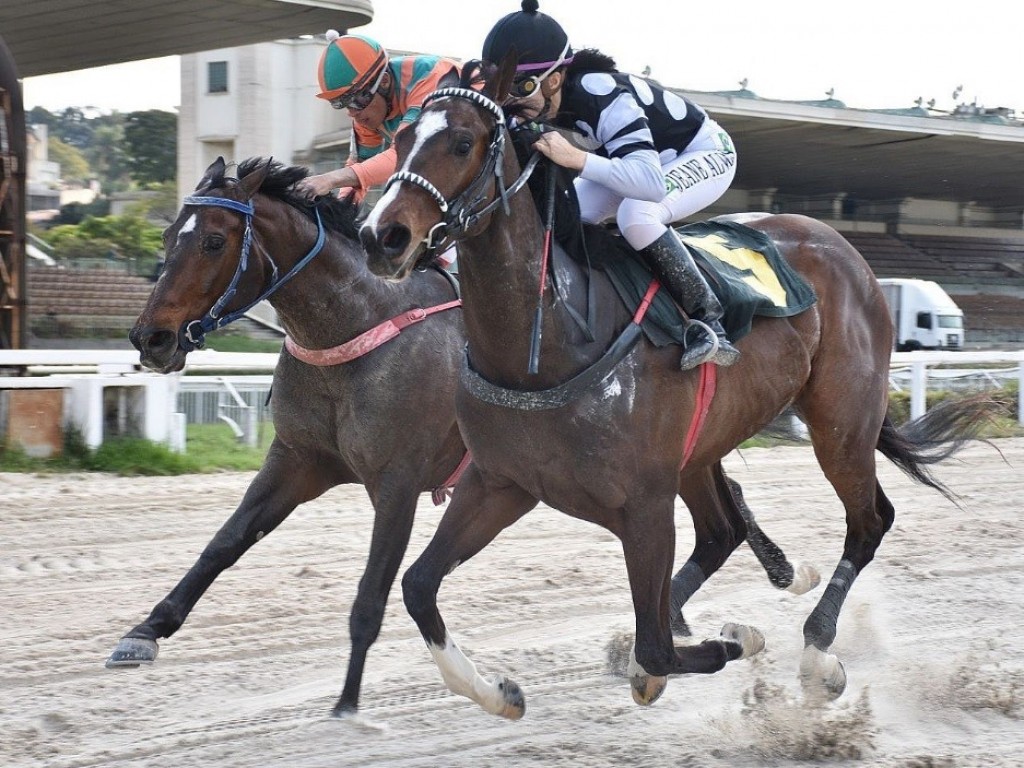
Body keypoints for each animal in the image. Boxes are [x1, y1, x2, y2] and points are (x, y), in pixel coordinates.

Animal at [356, 61, 987, 720]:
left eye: (461, 143)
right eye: (401, 139)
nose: (381, 236)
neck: (547, 341)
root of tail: (842, 245)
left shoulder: (644, 505)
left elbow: (657, 646)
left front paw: (734, 640)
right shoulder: (500, 483)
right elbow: (417, 585)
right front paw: (498, 692)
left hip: (841, 422)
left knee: (867, 522)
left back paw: (817, 652)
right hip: (705, 445)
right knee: (722, 532)